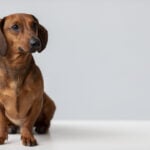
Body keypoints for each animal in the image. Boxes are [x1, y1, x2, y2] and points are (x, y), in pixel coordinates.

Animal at [0, 13, 55, 146]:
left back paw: (42, 127)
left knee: (46, 121)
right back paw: (11, 127)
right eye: (15, 27)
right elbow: (2, 121)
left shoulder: (37, 101)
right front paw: (1, 136)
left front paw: (27, 136)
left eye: (34, 25)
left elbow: (28, 122)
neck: (17, 67)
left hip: (49, 103)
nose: (36, 42)